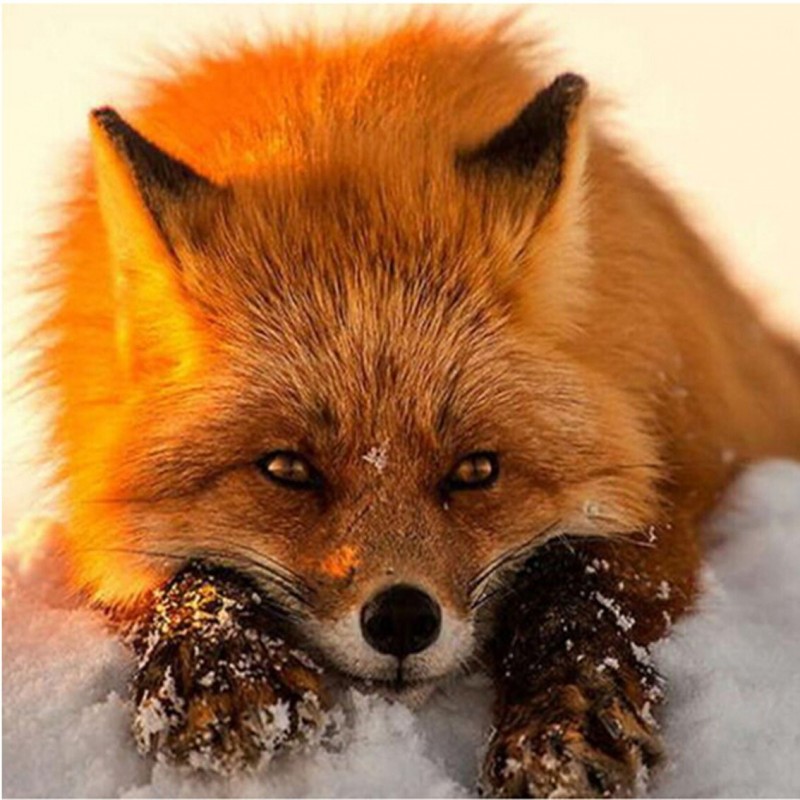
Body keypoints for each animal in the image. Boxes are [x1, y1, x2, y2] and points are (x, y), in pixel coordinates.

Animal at [35, 11, 800, 798]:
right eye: (286, 469)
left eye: (476, 471)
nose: (402, 619)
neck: (346, 122)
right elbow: (191, 574)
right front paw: (223, 669)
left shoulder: (672, 484)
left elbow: (580, 585)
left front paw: (565, 720)